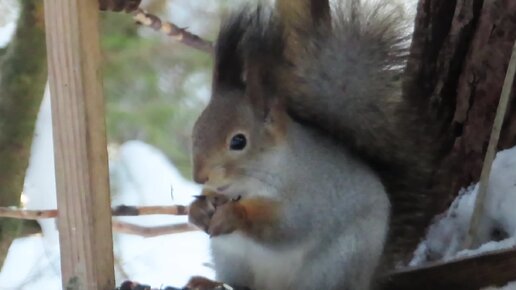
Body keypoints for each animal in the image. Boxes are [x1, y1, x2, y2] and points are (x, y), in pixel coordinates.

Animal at [189, 0, 444, 290]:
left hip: (334, 264)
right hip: (232, 260)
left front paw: (234, 214)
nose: (200, 177)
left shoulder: (312, 197)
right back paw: (206, 282)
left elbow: (287, 227)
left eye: (238, 141)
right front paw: (197, 210)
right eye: (195, 130)